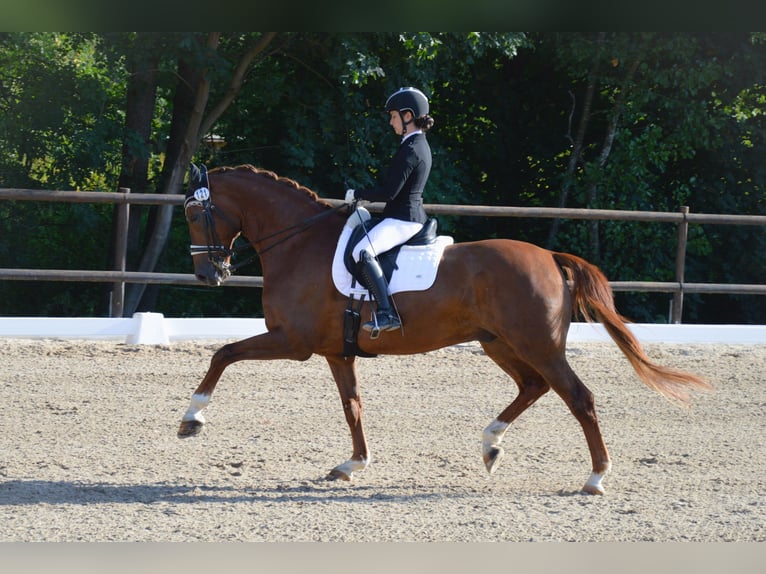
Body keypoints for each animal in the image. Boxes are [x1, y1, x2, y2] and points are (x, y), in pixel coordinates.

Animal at [177, 163, 711, 495]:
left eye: (193, 212)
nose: (207, 275)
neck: (299, 242)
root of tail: (549, 257)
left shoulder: (293, 341)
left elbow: (223, 353)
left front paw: (192, 419)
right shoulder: (335, 351)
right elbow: (352, 406)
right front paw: (353, 463)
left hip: (537, 344)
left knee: (578, 397)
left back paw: (596, 478)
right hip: (499, 343)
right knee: (533, 386)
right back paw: (491, 444)